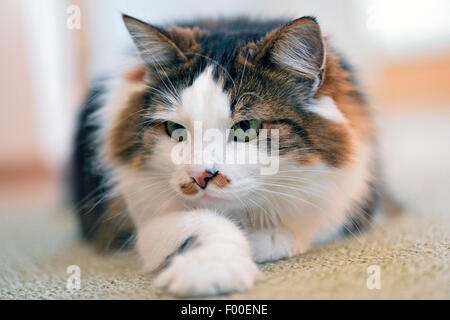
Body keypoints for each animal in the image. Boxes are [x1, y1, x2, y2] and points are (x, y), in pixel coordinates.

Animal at [71, 14, 380, 296]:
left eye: (246, 127)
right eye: (174, 129)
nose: (199, 176)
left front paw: (264, 239)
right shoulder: (136, 220)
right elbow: (204, 223)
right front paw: (210, 269)